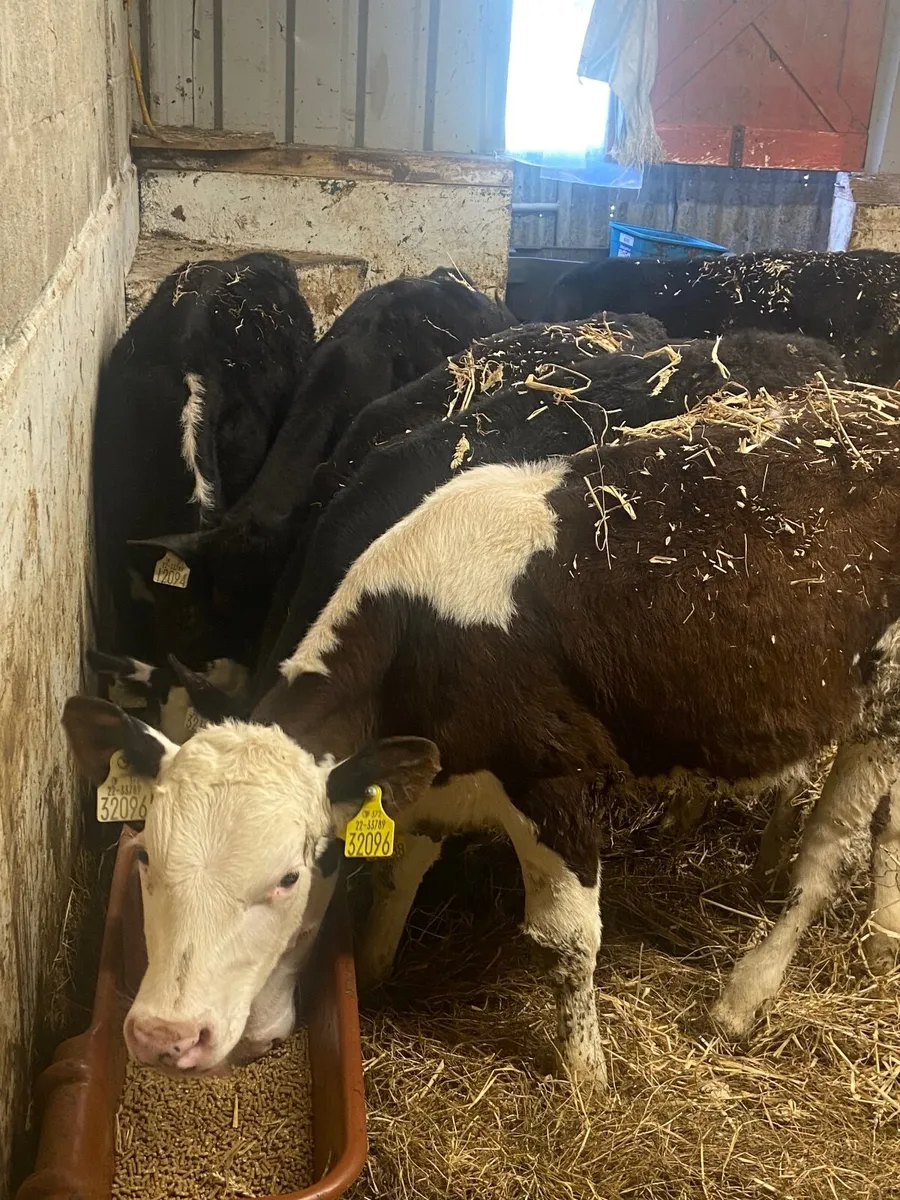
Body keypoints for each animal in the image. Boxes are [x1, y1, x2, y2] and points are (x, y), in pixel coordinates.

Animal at [62, 371, 900, 1087]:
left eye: (289, 876)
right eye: (146, 859)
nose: (166, 1036)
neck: (422, 634)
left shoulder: (552, 781)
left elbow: (568, 939)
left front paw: (587, 1082)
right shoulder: (425, 777)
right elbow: (398, 874)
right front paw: (375, 973)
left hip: (883, 699)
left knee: (832, 849)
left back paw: (744, 993)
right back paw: (876, 929)